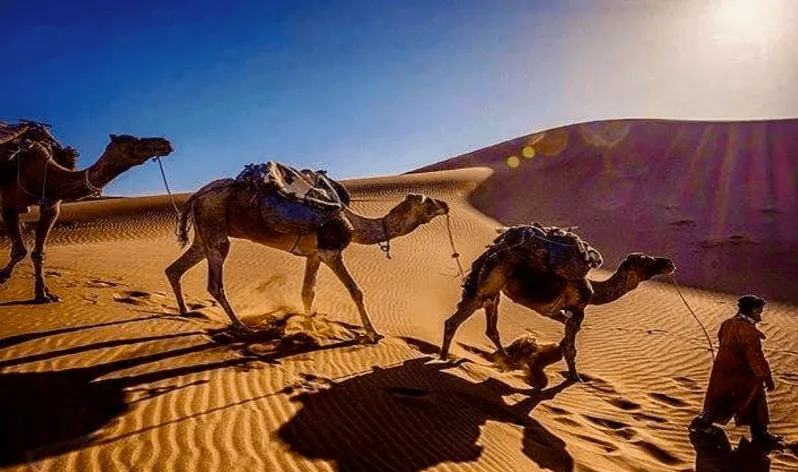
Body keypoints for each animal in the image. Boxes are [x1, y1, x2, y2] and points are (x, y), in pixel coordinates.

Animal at [0, 125, 174, 302]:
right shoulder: (8, 206)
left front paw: (43, 294)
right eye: (130, 140)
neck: (46, 176)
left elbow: (38, 253)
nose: (165, 142)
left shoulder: (51, 207)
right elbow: (20, 250)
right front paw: (3, 276)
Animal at [166, 178, 450, 342]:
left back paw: (185, 311)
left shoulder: (314, 255)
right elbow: (356, 291)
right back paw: (241, 327)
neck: (354, 224)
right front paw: (373, 334)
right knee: (215, 282)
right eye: (427, 201)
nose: (445, 204)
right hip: (214, 226)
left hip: (203, 234)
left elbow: (307, 292)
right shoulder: (331, 252)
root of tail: (196, 196)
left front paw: (309, 327)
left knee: (174, 269)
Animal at [440, 223, 675, 380]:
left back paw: (506, 358)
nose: (668, 263)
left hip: (494, 289)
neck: (594, 292)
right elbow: (572, 348)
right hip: (489, 284)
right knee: (455, 320)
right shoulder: (578, 309)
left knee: (491, 325)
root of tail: (491, 252)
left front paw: (555, 352)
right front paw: (575, 377)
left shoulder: (555, 311)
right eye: (645, 260)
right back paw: (443, 357)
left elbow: (565, 332)